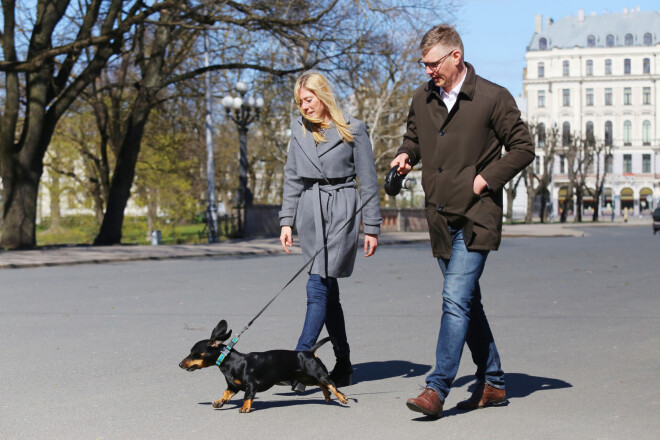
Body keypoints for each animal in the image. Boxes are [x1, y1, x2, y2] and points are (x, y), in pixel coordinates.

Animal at [178, 320, 348, 412]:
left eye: (194, 353)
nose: (179, 364)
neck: (231, 362)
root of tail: (309, 352)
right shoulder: (233, 386)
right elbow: (225, 394)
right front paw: (219, 402)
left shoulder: (251, 385)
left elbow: (248, 396)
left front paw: (245, 408)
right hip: (306, 378)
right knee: (323, 385)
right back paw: (327, 397)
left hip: (317, 373)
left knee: (330, 383)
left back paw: (343, 397)